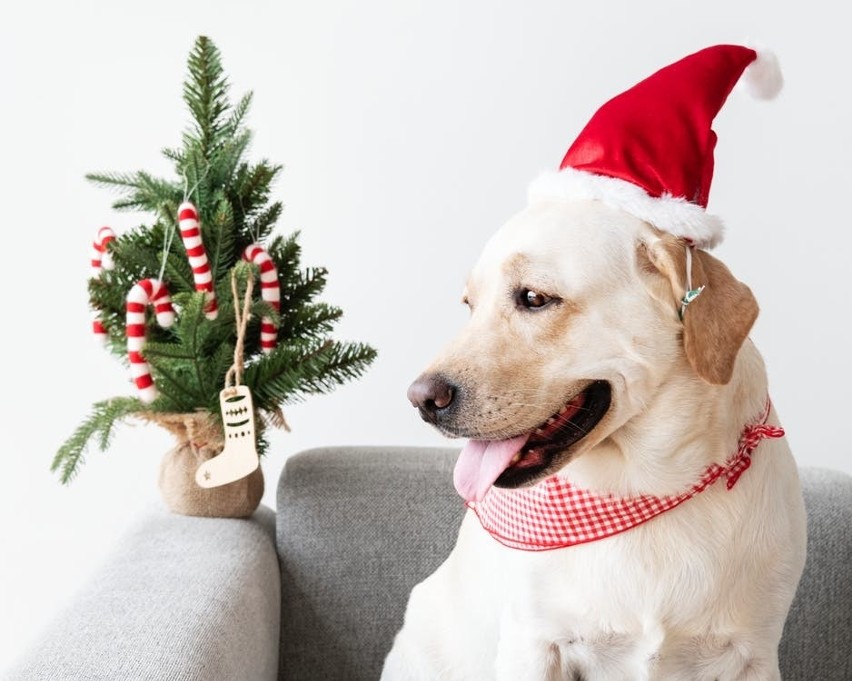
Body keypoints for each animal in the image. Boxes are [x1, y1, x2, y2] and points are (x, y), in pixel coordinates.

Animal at [382, 46, 808, 680]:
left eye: (534, 298)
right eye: (469, 305)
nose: (421, 398)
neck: (645, 485)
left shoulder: (754, 654)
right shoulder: (534, 642)